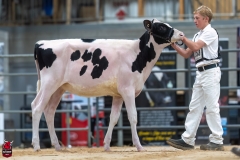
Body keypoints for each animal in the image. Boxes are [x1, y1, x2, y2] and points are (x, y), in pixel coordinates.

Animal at [31, 18, 183, 151]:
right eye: (161, 27)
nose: (181, 34)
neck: (137, 54)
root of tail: (40, 43)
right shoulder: (127, 90)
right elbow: (133, 117)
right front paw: (139, 146)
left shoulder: (118, 94)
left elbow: (113, 118)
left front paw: (107, 145)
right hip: (49, 83)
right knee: (37, 107)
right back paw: (37, 146)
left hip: (58, 88)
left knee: (49, 111)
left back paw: (57, 146)